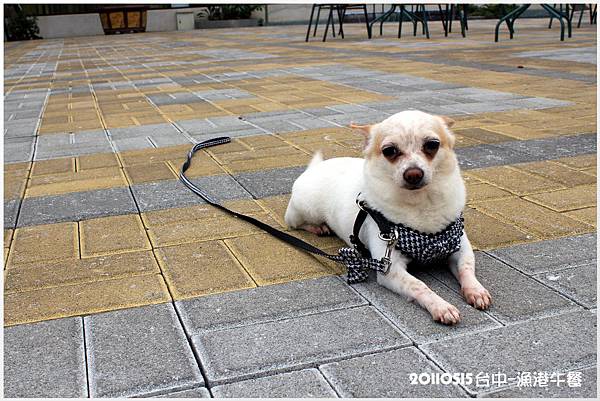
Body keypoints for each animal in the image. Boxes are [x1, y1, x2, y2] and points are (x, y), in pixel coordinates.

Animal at [286, 109, 492, 324]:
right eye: (389, 151)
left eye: (432, 145)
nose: (413, 173)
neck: (420, 204)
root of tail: (315, 167)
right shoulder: (390, 268)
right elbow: (419, 285)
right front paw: (441, 306)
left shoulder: (461, 247)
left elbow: (466, 267)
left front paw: (476, 291)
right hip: (305, 209)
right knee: (294, 223)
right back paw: (318, 227)